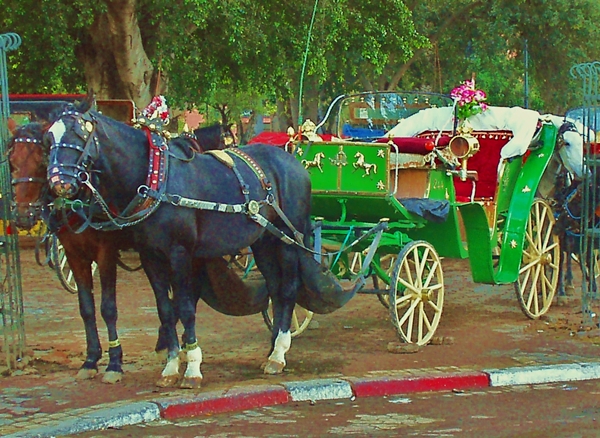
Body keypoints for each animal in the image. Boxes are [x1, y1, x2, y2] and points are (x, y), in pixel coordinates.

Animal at [47, 97, 314, 388]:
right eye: (49, 136)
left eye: (78, 134)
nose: (58, 183)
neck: (157, 179)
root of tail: (292, 160)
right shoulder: (150, 256)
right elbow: (165, 309)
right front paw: (171, 366)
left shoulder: (180, 254)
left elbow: (185, 307)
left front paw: (192, 367)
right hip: (264, 240)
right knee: (274, 287)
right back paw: (273, 349)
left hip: (288, 238)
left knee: (287, 289)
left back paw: (279, 352)